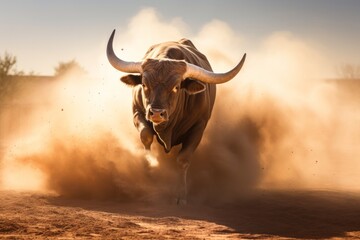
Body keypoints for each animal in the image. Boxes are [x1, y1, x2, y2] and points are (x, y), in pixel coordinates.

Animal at [106, 29, 245, 203]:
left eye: (176, 87)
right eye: (144, 84)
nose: (156, 112)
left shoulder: (199, 126)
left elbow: (183, 159)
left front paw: (181, 195)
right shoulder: (137, 112)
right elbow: (146, 136)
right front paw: (150, 169)